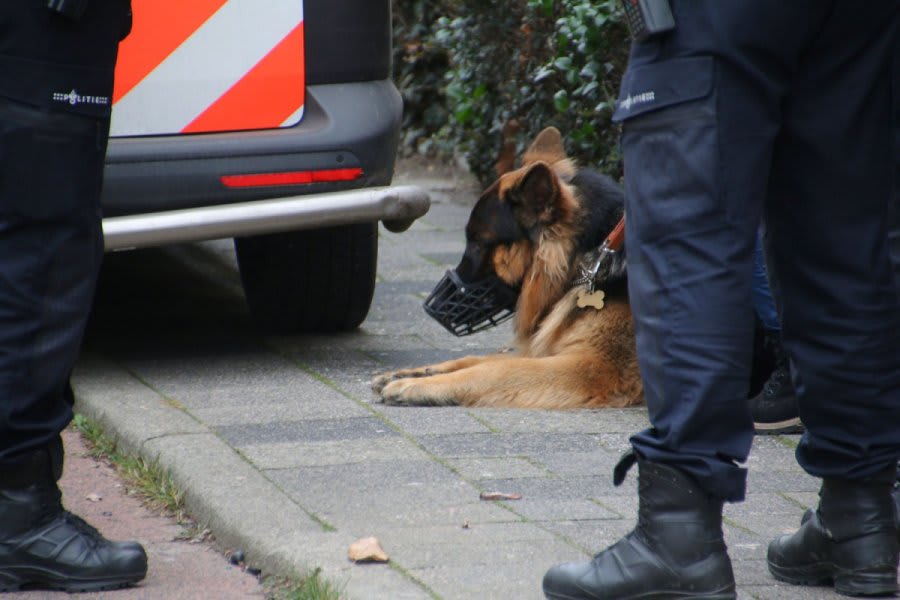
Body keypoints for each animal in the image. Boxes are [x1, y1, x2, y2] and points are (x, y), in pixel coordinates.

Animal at [370, 126, 644, 408]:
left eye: (477, 243)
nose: (431, 306)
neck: (588, 257)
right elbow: (475, 359)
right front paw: (414, 373)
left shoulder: (593, 366)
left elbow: (493, 369)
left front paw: (416, 385)